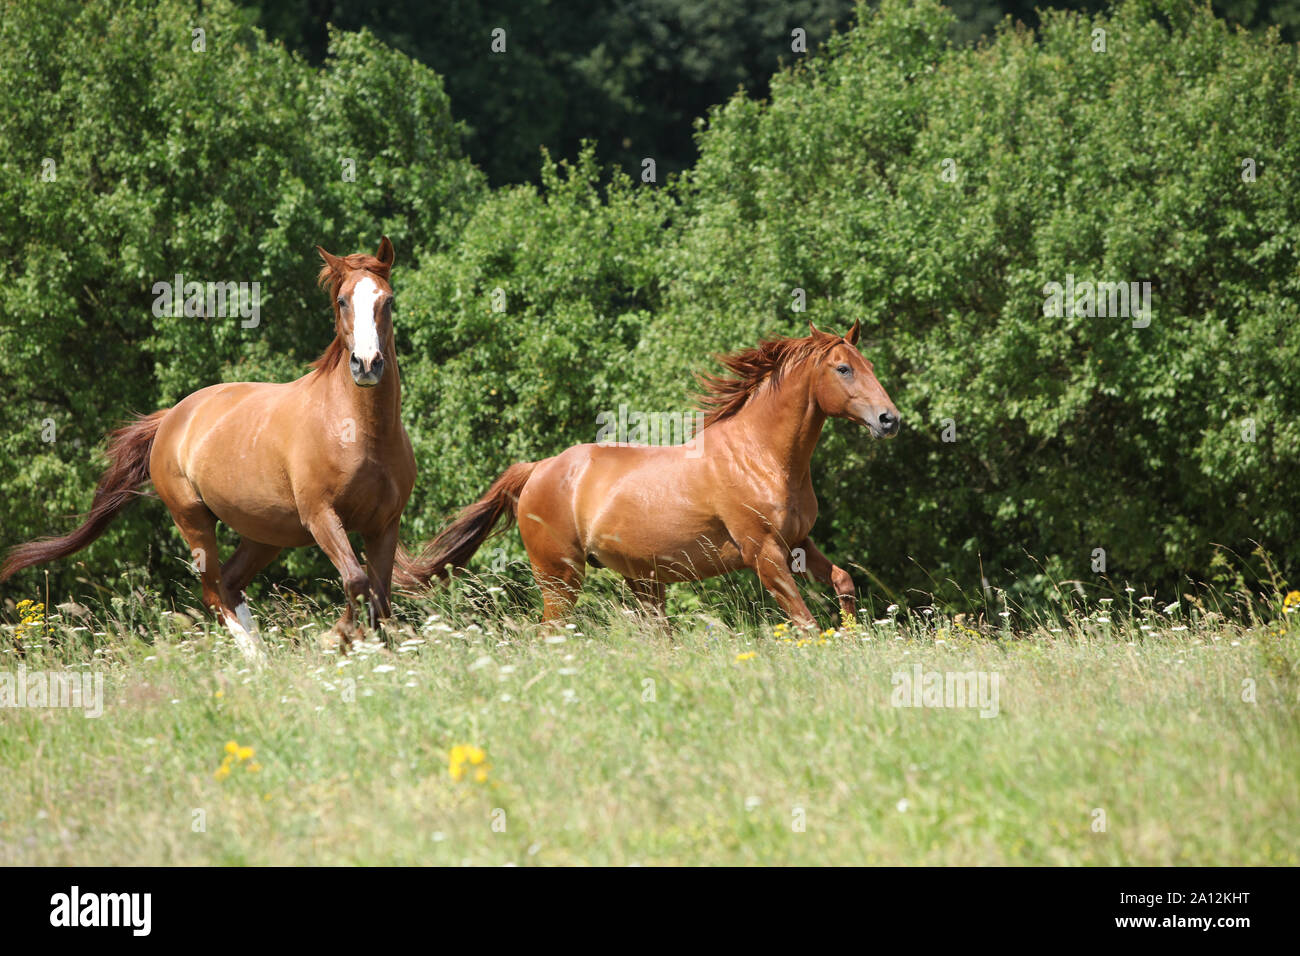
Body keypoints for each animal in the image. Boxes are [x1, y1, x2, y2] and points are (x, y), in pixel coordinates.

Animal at [1, 238, 416, 657]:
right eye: (343, 301)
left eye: (388, 300)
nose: (367, 364)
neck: (359, 432)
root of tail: (171, 418)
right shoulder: (321, 517)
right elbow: (357, 582)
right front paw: (337, 637)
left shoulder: (385, 524)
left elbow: (379, 598)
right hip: (194, 521)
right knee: (214, 594)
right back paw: (258, 662)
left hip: (265, 533)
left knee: (231, 585)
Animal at [395, 322, 899, 628]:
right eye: (843, 368)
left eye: (871, 366)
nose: (889, 419)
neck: (761, 456)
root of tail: (537, 470)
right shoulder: (765, 553)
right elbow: (804, 621)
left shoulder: (798, 543)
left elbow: (842, 582)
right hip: (560, 578)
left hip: (642, 582)